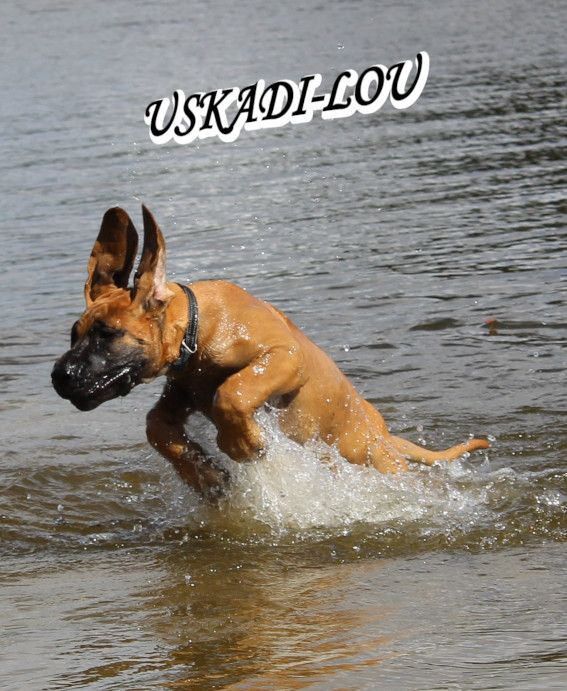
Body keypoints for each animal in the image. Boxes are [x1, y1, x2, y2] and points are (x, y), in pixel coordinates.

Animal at [52, 205, 489, 498]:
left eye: (108, 334)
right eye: (73, 335)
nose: (59, 377)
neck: (198, 329)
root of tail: (382, 434)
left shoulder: (286, 356)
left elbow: (234, 391)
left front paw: (243, 444)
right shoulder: (180, 392)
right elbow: (155, 425)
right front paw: (204, 476)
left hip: (377, 460)